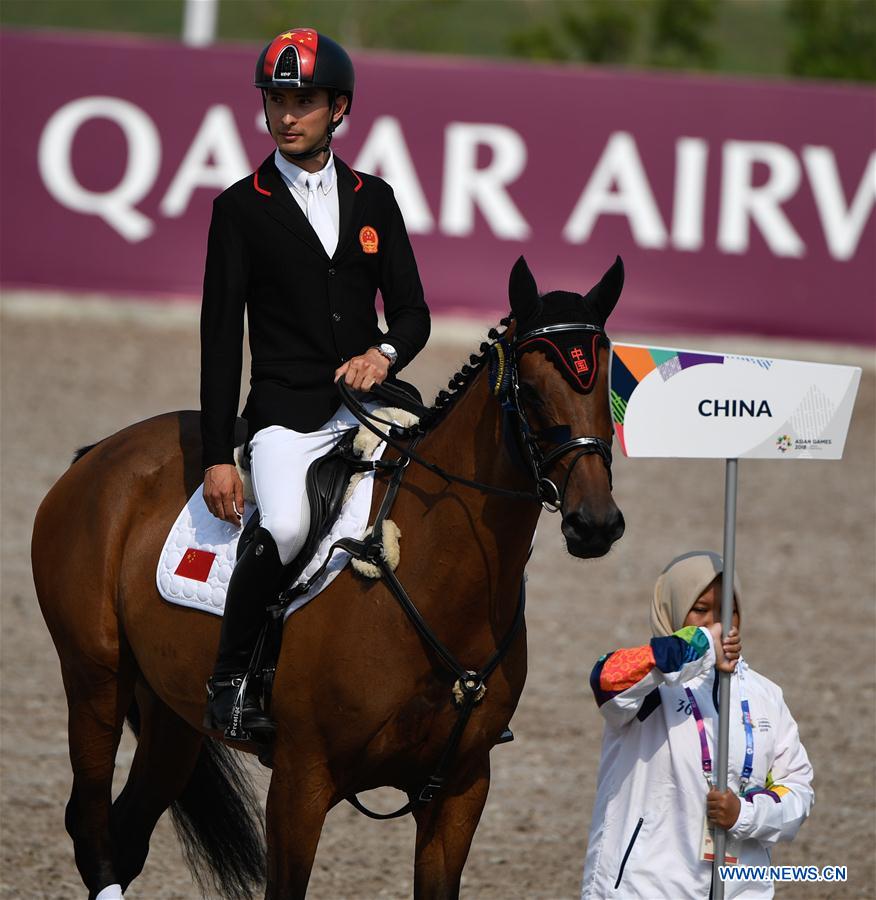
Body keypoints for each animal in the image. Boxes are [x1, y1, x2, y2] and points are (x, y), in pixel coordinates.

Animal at [30, 255, 628, 900]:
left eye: (607, 386)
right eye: (533, 392)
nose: (595, 523)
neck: (437, 579)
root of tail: (99, 454)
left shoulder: (459, 792)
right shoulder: (300, 784)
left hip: (170, 711)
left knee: (127, 830)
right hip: (94, 679)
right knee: (90, 826)